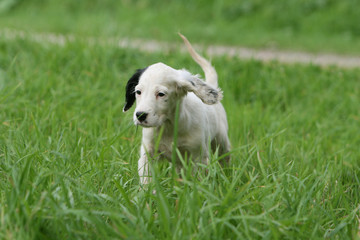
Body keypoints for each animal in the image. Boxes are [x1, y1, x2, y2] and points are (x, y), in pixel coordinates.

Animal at [124, 33, 231, 184]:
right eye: (138, 92)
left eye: (161, 94)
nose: (140, 115)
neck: (169, 127)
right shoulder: (148, 153)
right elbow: (146, 179)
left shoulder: (199, 156)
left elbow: (198, 180)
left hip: (221, 140)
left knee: (225, 158)